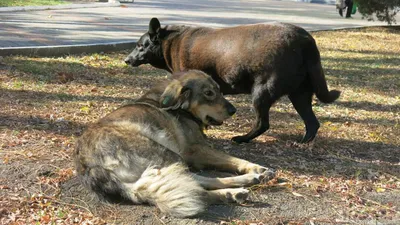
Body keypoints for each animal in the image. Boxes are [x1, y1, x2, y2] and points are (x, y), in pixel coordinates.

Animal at [75, 71, 276, 218]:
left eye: (219, 90)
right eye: (208, 93)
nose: (233, 110)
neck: (179, 107)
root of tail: (89, 167)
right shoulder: (194, 150)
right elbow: (232, 158)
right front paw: (257, 167)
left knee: (195, 186)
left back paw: (236, 191)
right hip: (169, 155)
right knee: (197, 183)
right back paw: (242, 185)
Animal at [125, 17, 340, 144]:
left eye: (140, 45)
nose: (127, 59)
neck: (169, 41)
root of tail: (306, 41)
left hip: (262, 91)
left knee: (263, 123)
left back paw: (242, 138)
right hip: (300, 94)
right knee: (312, 123)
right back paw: (303, 142)